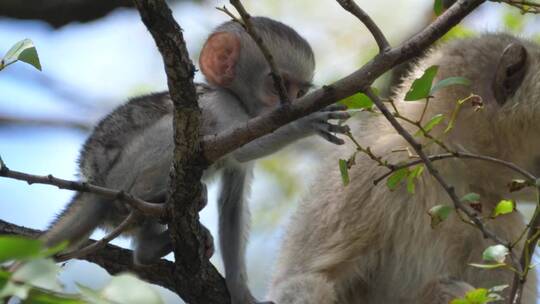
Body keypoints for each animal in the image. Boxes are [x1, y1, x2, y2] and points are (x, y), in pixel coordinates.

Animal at [39, 17, 350, 304]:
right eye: (278, 85)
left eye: (300, 92)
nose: (292, 104)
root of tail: (93, 181)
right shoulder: (223, 104)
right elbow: (243, 149)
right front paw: (305, 121)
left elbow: (232, 204)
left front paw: (241, 291)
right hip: (123, 174)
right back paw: (152, 211)